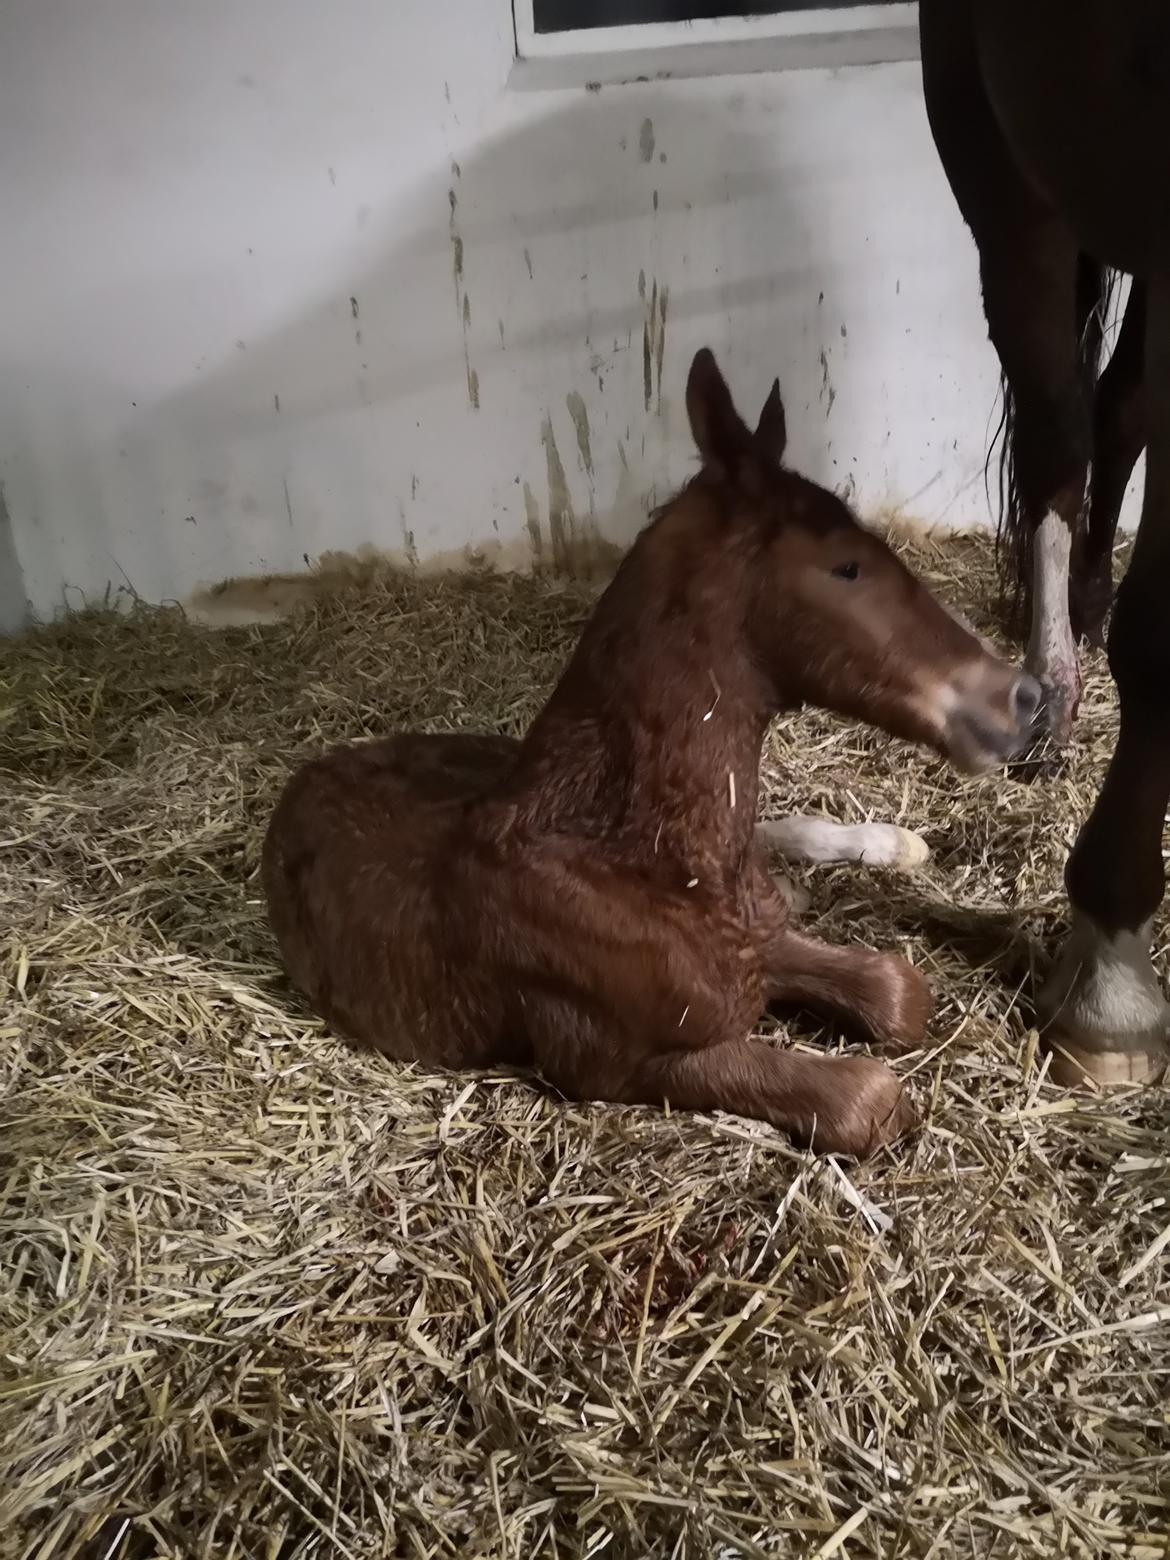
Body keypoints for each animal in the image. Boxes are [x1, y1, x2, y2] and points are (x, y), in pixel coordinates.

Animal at [260, 354, 1042, 1160]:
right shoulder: (618, 1061)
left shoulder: (761, 943)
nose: (1023, 697)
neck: (645, 864)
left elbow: (897, 990)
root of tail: (309, 774)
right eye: (847, 568)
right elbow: (867, 1096)